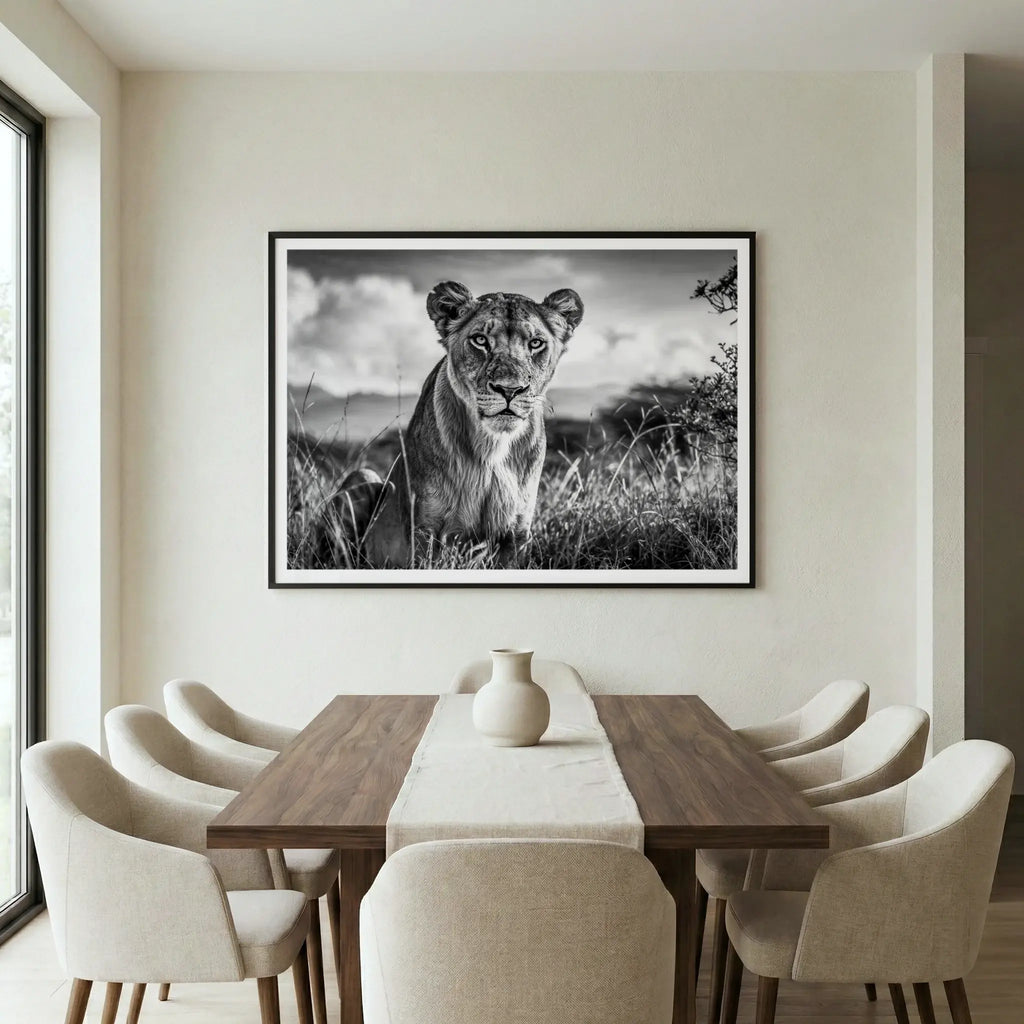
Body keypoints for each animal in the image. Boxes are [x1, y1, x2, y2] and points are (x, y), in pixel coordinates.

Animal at [339, 280, 584, 568]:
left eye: (536, 343)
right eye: (480, 340)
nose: (509, 390)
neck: (492, 447)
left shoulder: (517, 534)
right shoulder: (425, 531)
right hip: (362, 476)